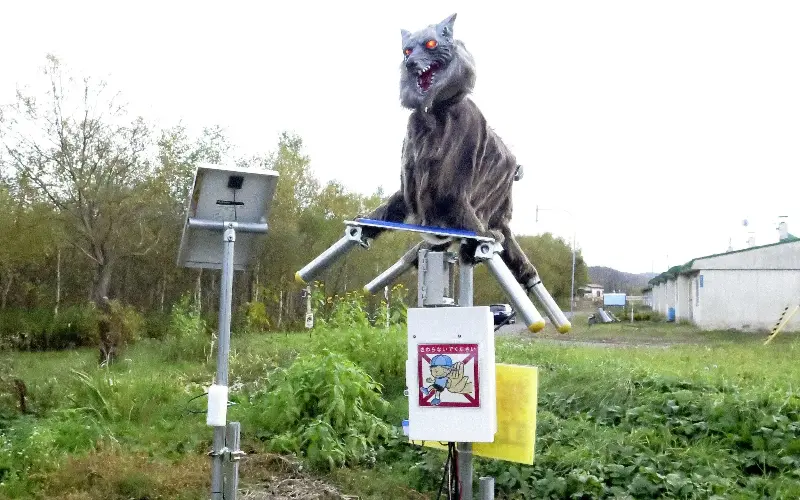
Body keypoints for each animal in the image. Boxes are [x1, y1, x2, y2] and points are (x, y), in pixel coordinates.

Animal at [360, 13, 540, 291]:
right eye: (407, 50)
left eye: (431, 44)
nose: (410, 63)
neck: (434, 113)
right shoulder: (410, 182)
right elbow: (390, 207)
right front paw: (367, 223)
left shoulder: (454, 187)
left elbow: (468, 222)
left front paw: (481, 238)